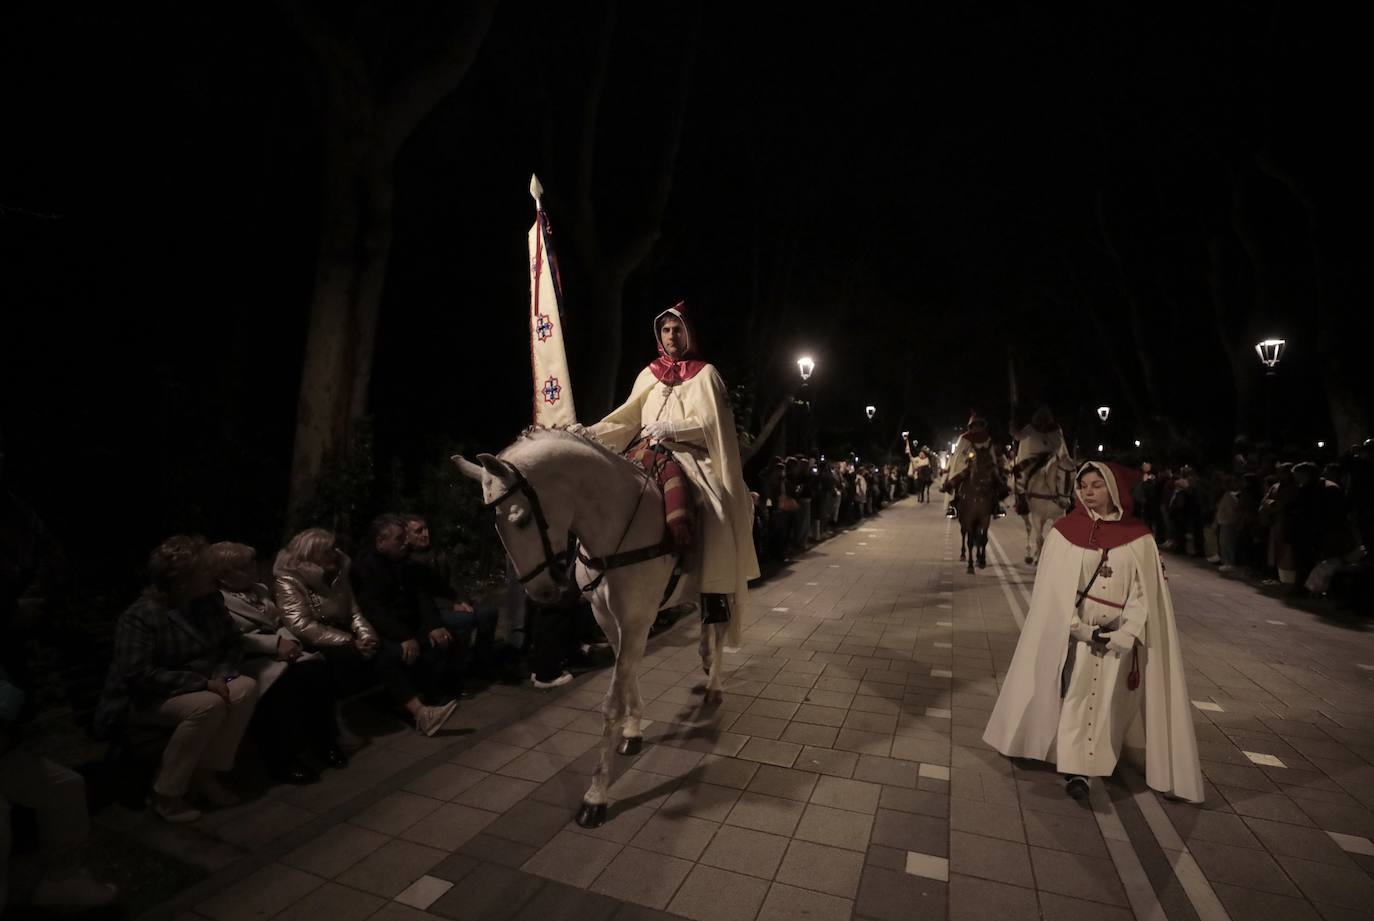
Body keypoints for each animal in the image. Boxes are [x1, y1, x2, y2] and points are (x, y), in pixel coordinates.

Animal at [456, 431, 725, 830]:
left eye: (521, 520)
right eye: (496, 527)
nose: (542, 592)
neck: (615, 527)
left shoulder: (636, 619)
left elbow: (612, 702)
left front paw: (596, 796)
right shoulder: (609, 619)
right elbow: (627, 676)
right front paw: (633, 731)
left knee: (721, 629)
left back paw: (715, 685)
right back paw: (705, 663)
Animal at [956, 442, 1000, 574]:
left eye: (991, 459)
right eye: (979, 461)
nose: (988, 481)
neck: (977, 494)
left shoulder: (984, 519)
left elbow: (983, 539)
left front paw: (982, 561)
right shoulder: (969, 519)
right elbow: (970, 542)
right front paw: (970, 566)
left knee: (978, 536)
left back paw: (978, 558)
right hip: (963, 520)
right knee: (964, 533)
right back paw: (963, 555)